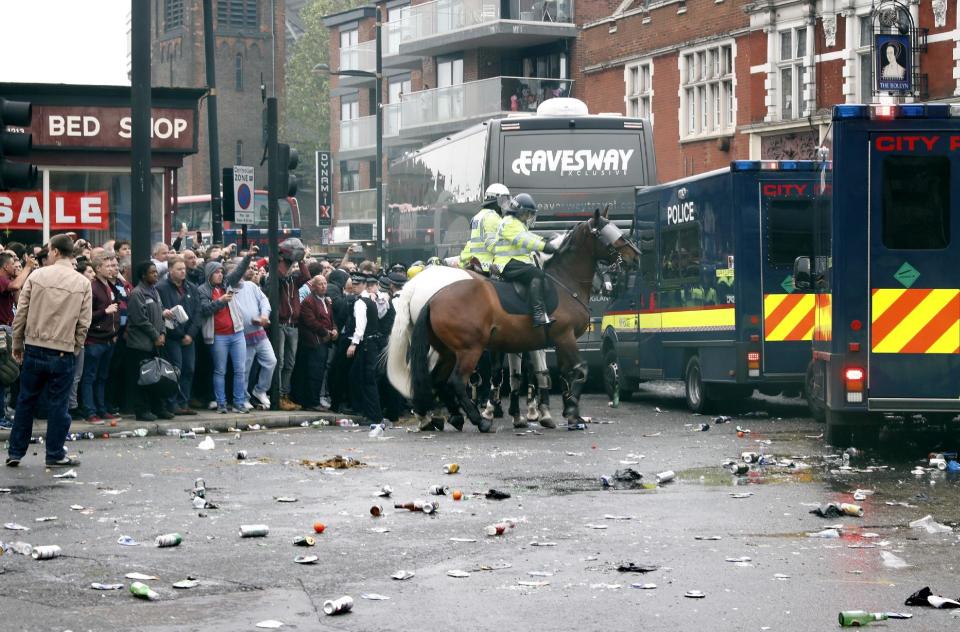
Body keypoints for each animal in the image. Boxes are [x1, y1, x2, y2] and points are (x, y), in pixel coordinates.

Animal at [386, 210, 640, 432]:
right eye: (609, 234)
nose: (635, 256)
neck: (563, 282)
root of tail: (432, 296)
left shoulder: (547, 343)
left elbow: (552, 374)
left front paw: (564, 414)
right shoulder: (562, 337)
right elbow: (576, 370)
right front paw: (559, 413)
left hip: (447, 350)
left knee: (435, 379)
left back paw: (446, 417)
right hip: (469, 349)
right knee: (455, 381)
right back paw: (476, 420)